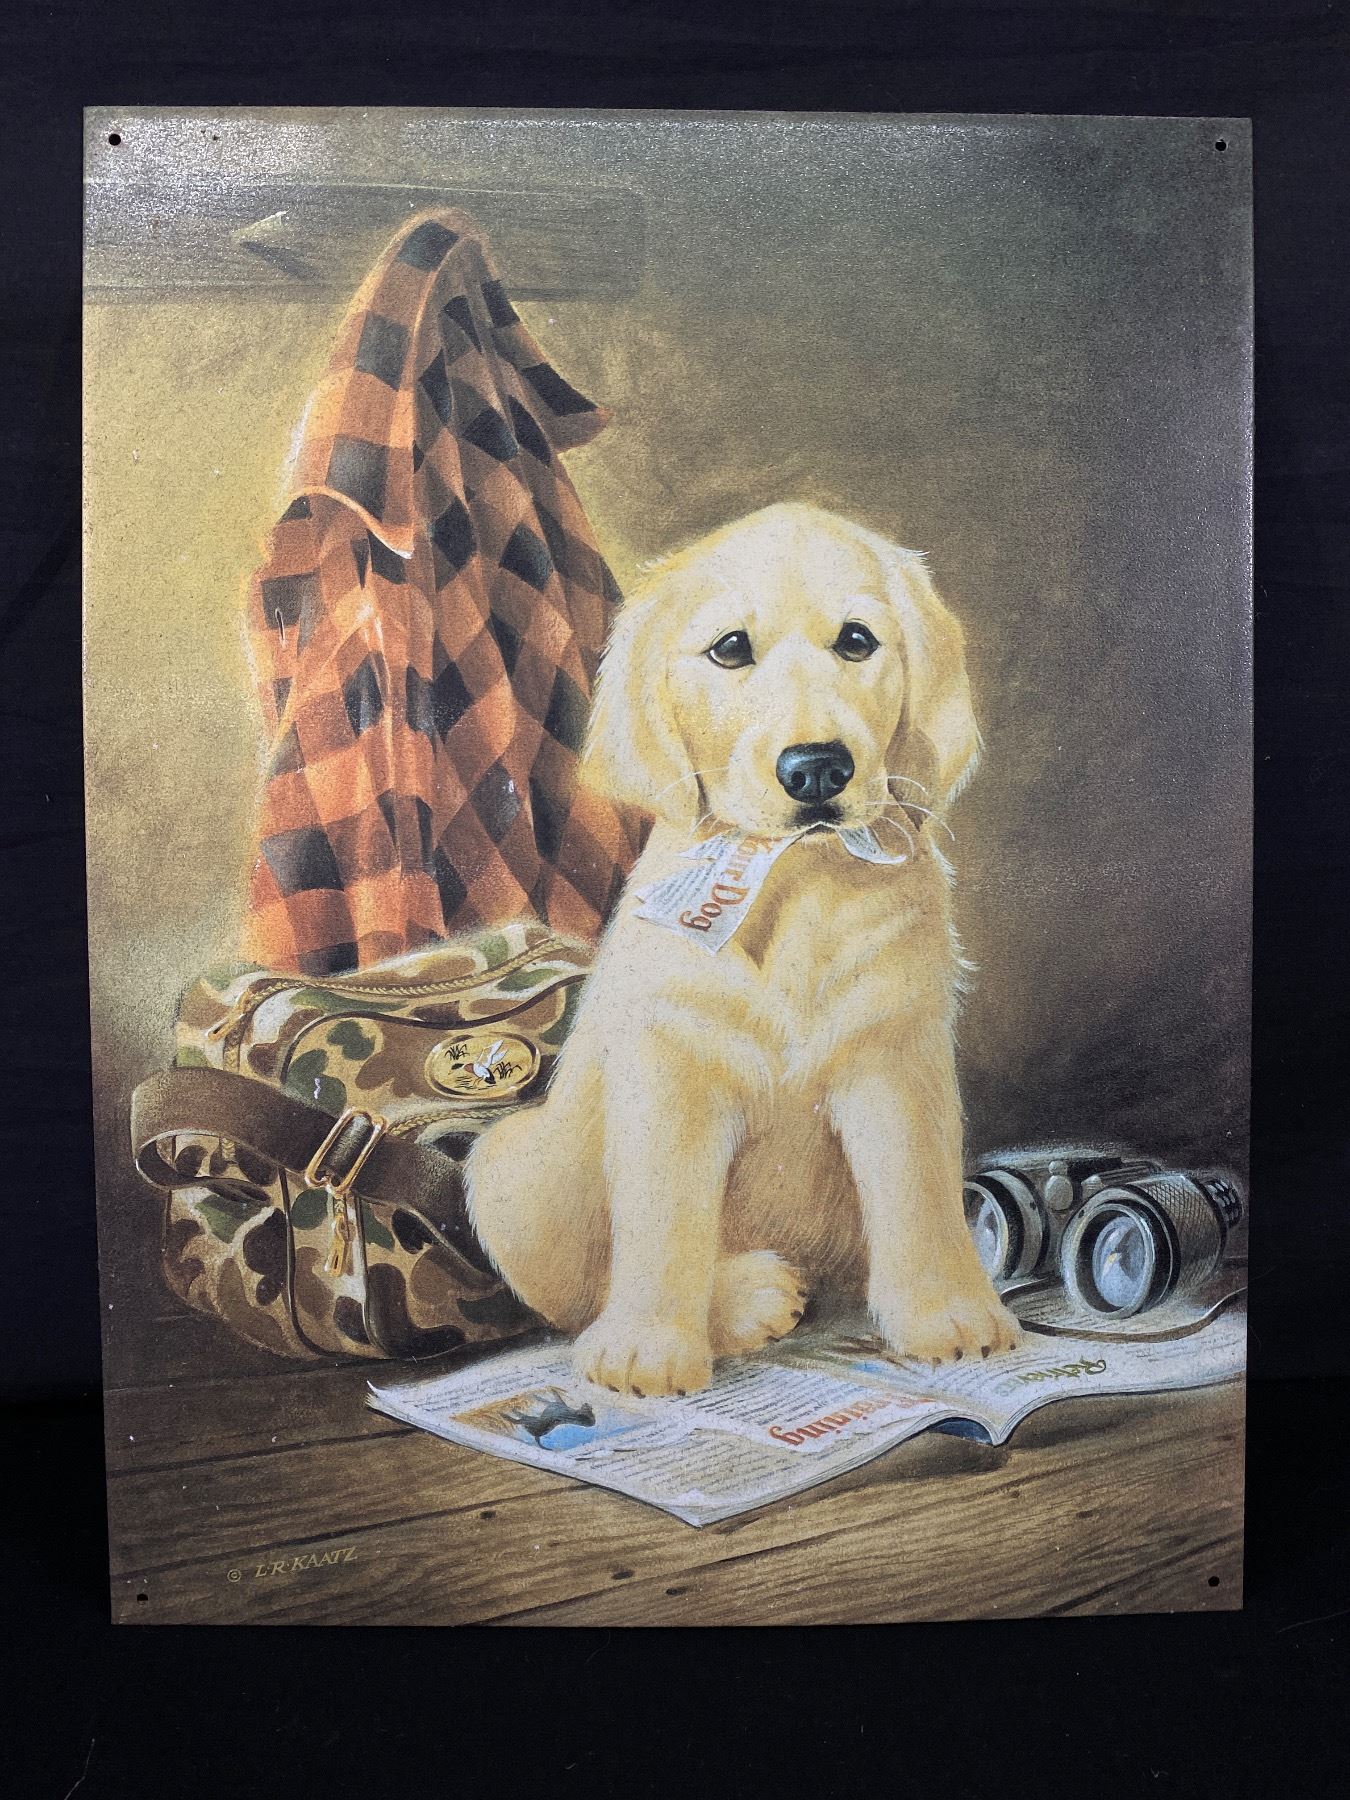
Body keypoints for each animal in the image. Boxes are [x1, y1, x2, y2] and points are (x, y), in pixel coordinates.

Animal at [466, 501, 1022, 1396]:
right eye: (731, 649)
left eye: (857, 641)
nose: (818, 768)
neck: (790, 878)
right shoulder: (671, 1064)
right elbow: (662, 1218)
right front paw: (647, 1350)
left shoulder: (894, 1051)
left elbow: (917, 1190)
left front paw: (950, 1316)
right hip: (507, 1168)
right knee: (586, 1289)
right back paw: (748, 1297)